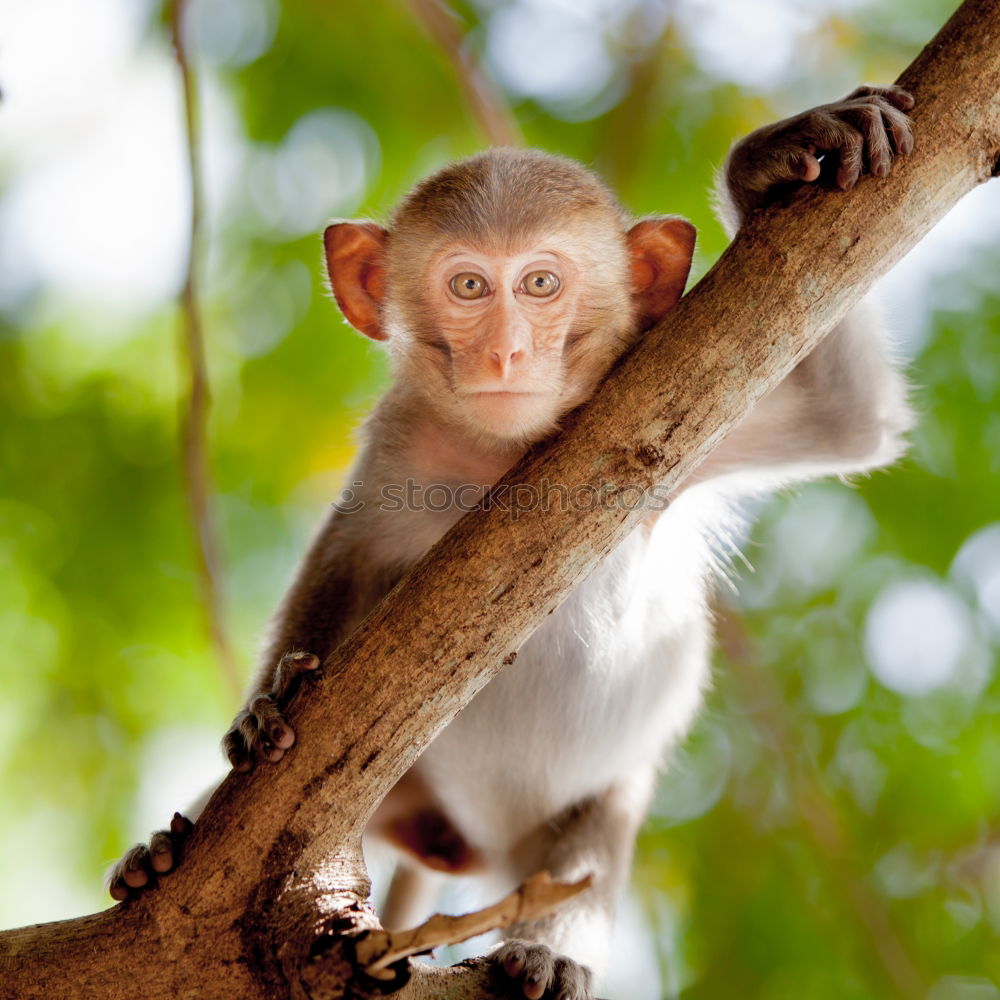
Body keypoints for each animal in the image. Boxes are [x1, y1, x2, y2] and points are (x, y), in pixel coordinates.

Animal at [111, 88, 916, 1000]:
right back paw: (165, 852)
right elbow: (344, 563)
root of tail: (469, 844)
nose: (504, 351)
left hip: (584, 813)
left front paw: (770, 162)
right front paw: (272, 700)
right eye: (468, 286)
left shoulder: (689, 404)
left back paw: (548, 951)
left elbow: (847, 414)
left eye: (540, 284)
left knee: (587, 853)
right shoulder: (398, 444)